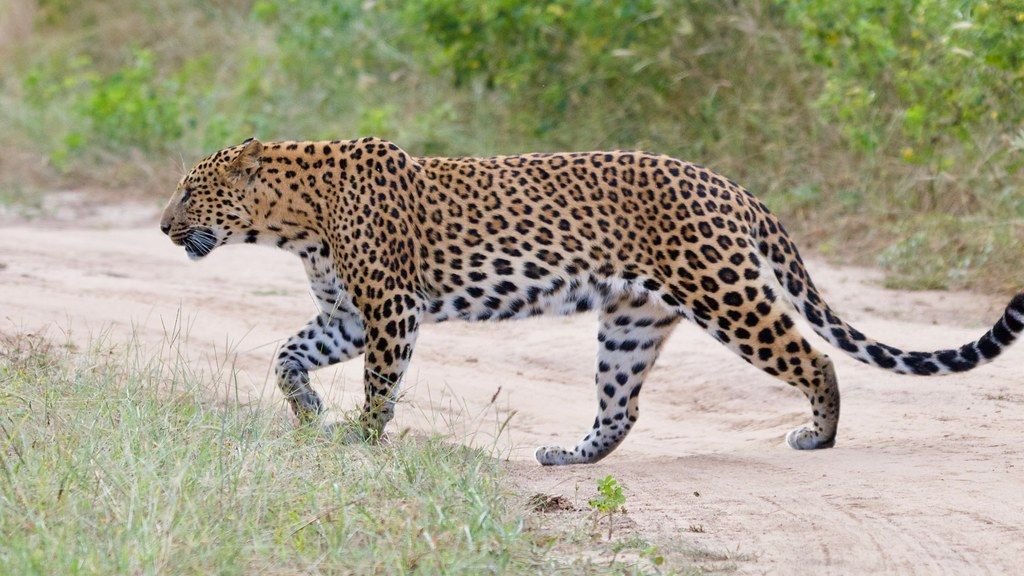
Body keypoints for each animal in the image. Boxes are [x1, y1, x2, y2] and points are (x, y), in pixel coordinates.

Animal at [160, 137, 1024, 465]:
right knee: (623, 404)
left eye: (190, 191)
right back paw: (572, 456)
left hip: (725, 291)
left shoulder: (390, 308)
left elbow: (379, 382)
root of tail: (730, 185)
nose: (163, 226)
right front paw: (307, 407)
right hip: (633, 321)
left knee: (813, 355)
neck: (294, 220)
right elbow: (288, 352)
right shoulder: (348, 313)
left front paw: (363, 439)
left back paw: (821, 435)